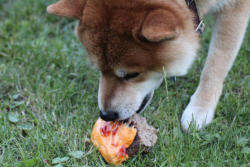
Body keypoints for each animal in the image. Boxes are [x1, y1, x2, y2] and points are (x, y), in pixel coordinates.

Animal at [46, 0, 248, 130]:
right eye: (99, 69)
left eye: (131, 75)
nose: (106, 115)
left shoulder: (235, 7)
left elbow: (215, 65)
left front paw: (200, 108)